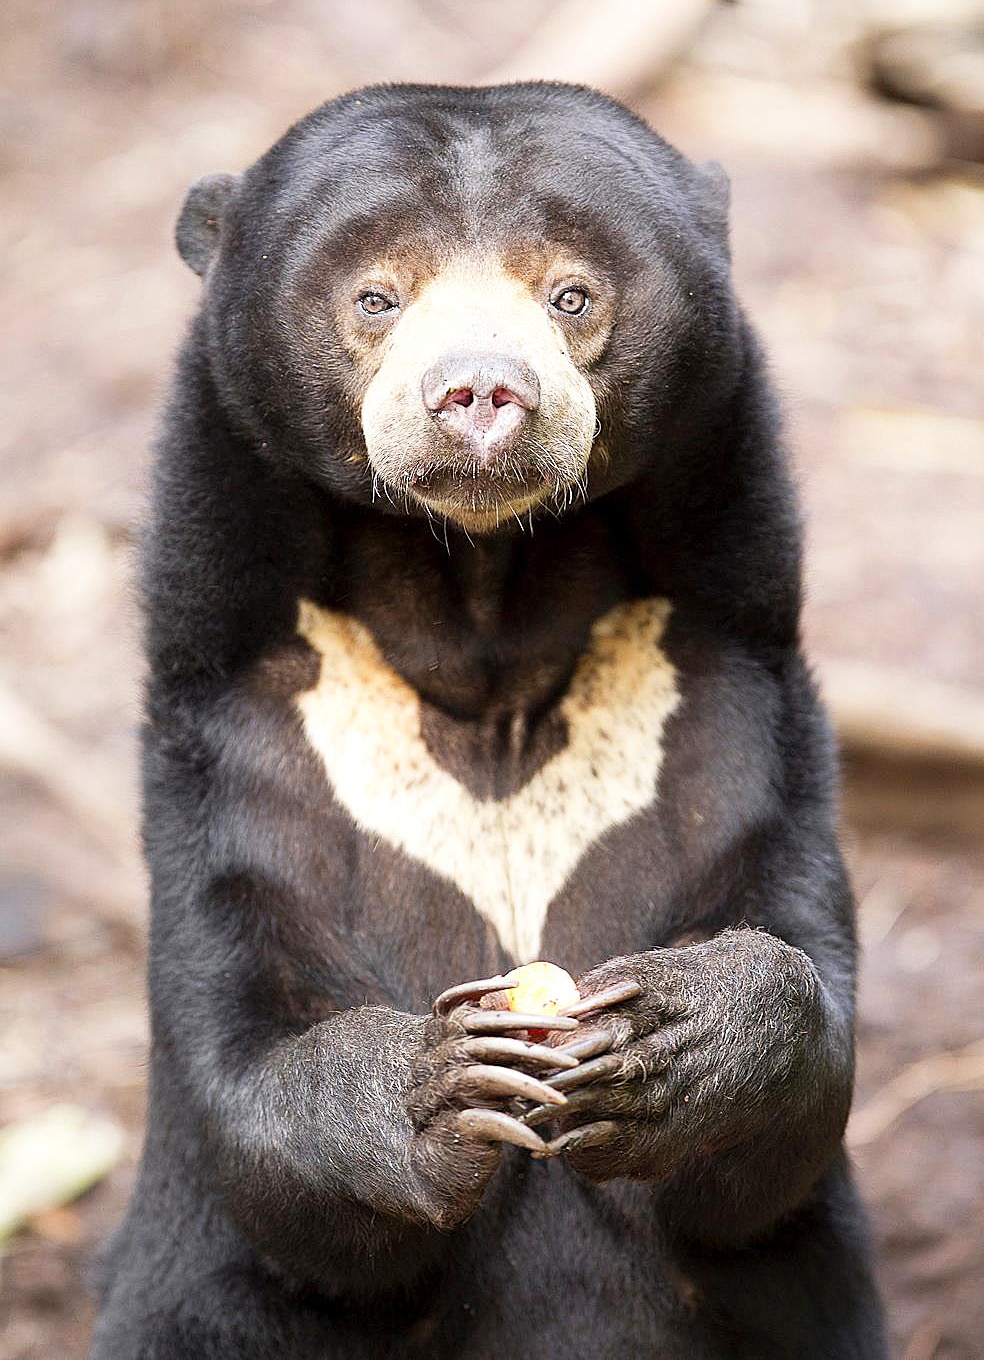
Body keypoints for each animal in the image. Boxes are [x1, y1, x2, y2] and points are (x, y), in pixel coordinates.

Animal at [90, 83, 888, 1359]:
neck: (484, 615)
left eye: (572, 293)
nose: (478, 393)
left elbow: (793, 1046)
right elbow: (249, 1060)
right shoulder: (249, 731)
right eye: (376, 296)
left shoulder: (722, 691)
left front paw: (673, 1039)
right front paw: (446, 1079)